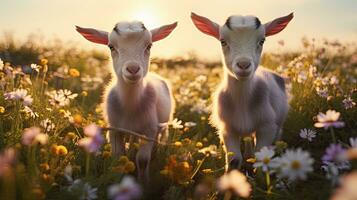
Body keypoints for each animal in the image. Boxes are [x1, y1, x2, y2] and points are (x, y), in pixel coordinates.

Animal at [76, 21, 176, 180]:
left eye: (149, 46)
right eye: (111, 46)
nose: (133, 69)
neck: (130, 104)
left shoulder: (149, 129)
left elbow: (143, 160)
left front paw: (144, 181)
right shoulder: (115, 129)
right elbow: (118, 157)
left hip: (162, 126)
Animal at [192, 12, 292, 169]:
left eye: (262, 41)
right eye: (223, 41)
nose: (243, 65)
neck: (242, 101)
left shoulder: (267, 127)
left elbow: (260, 157)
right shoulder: (227, 129)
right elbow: (234, 160)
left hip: (279, 123)